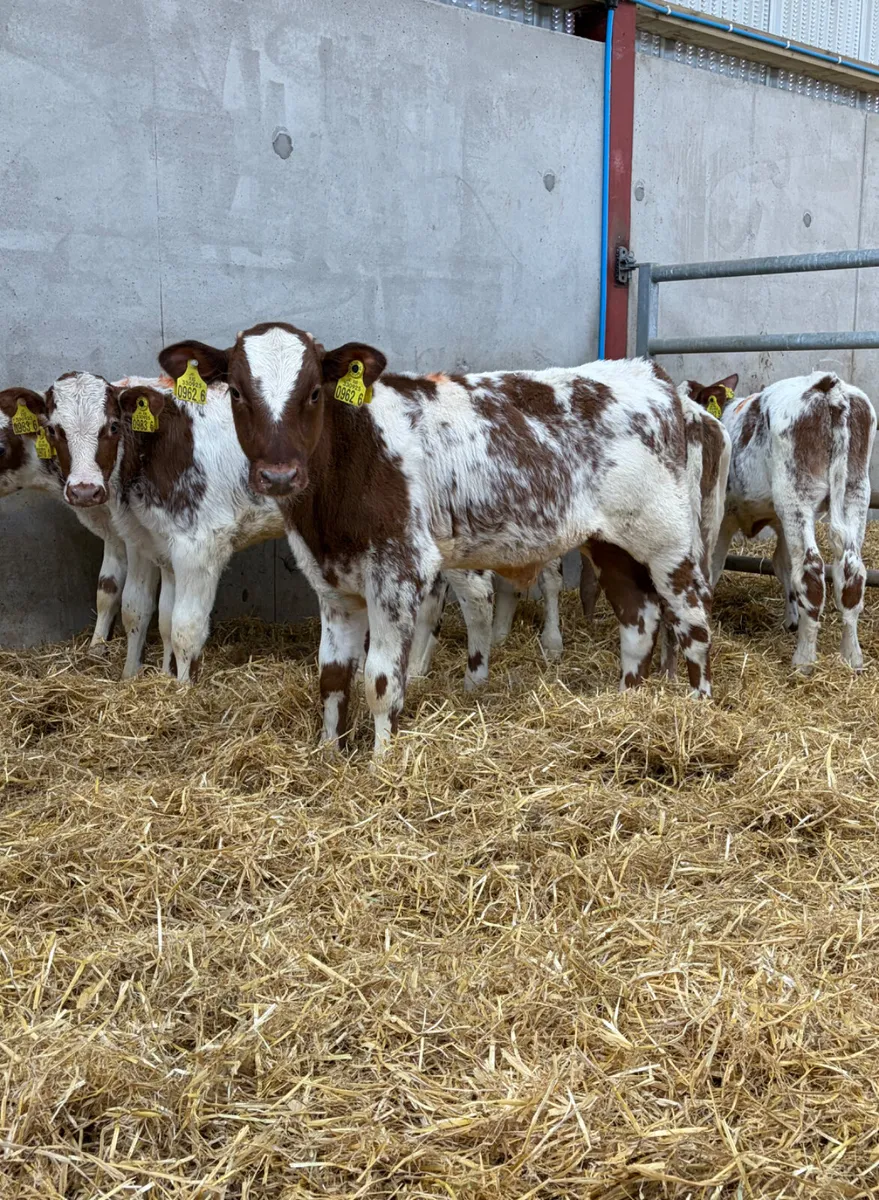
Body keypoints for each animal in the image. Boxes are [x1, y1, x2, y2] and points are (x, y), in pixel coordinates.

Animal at [159, 328, 717, 752]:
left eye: (315, 391)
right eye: (236, 393)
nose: (278, 475)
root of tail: (649, 375)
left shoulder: (398, 571)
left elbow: (380, 681)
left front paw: (382, 763)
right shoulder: (332, 583)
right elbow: (332, 677)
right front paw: (328, 753)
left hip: (666, 539)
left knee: (693, 618)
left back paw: (699, 705)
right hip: (611, 543)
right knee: (639, 619)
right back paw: (628, 702)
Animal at [682, 370, 876, 672]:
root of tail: (828, 385)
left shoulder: (721, 517)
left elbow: (712, 566)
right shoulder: (780, 521)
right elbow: (783, 566)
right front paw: (791, 618)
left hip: (796, 494)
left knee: (811, 570)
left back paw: (804, 659)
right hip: (854, 493)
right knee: (851, 571)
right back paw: (851, 656)